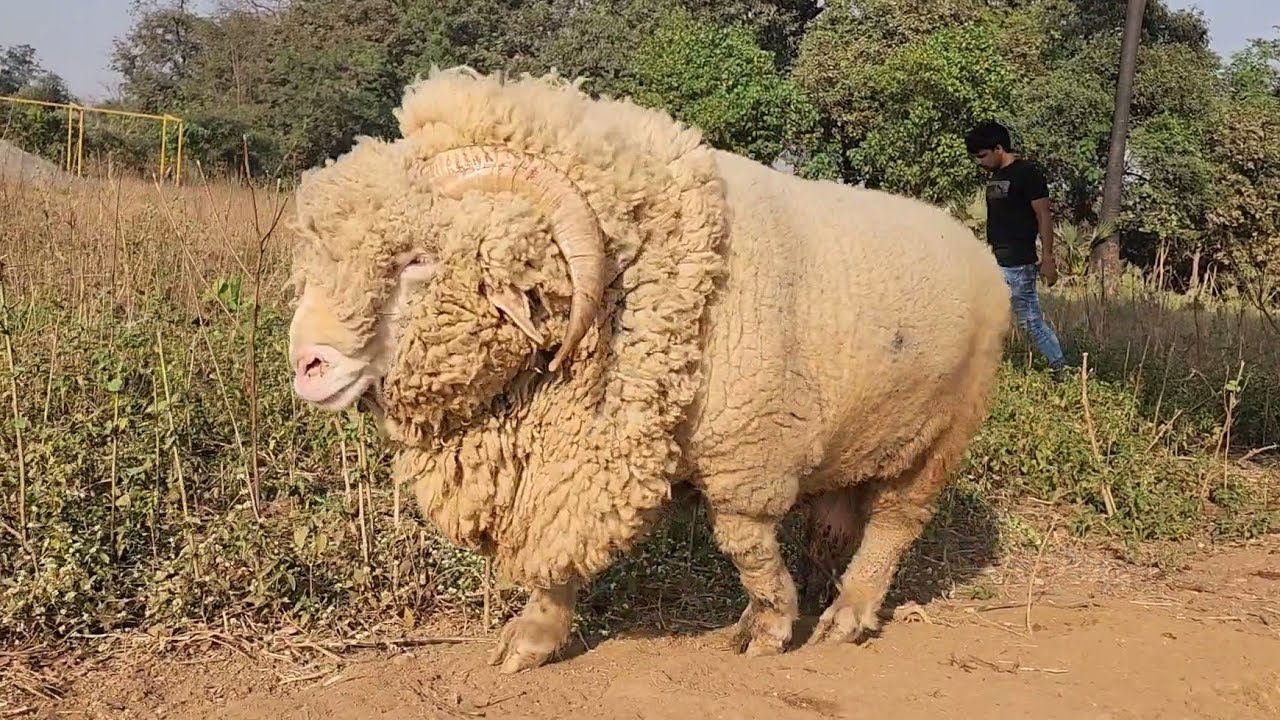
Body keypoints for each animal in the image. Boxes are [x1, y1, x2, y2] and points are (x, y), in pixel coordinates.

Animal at [286, 65, 1012, 673]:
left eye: (419, 260)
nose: (307, 363)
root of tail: (970, 243)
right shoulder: (576, 454)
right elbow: (558, 552)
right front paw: (533, 638)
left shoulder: (745, 453)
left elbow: (745, 542)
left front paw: (770, 623)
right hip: (861, 432)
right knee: (837, 515)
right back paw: (819, 580)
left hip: (942, 435)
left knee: (894, 523)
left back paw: (848, 612)